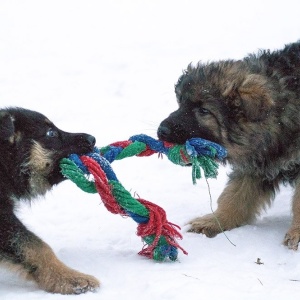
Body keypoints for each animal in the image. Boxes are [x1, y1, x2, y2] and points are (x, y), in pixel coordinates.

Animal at [157, 41, 300, 250]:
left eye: (204, 110)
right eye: (181, 103)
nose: (161, 131)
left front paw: (296, 234)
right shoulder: (256, 162)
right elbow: (234, 196)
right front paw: (214, 221)